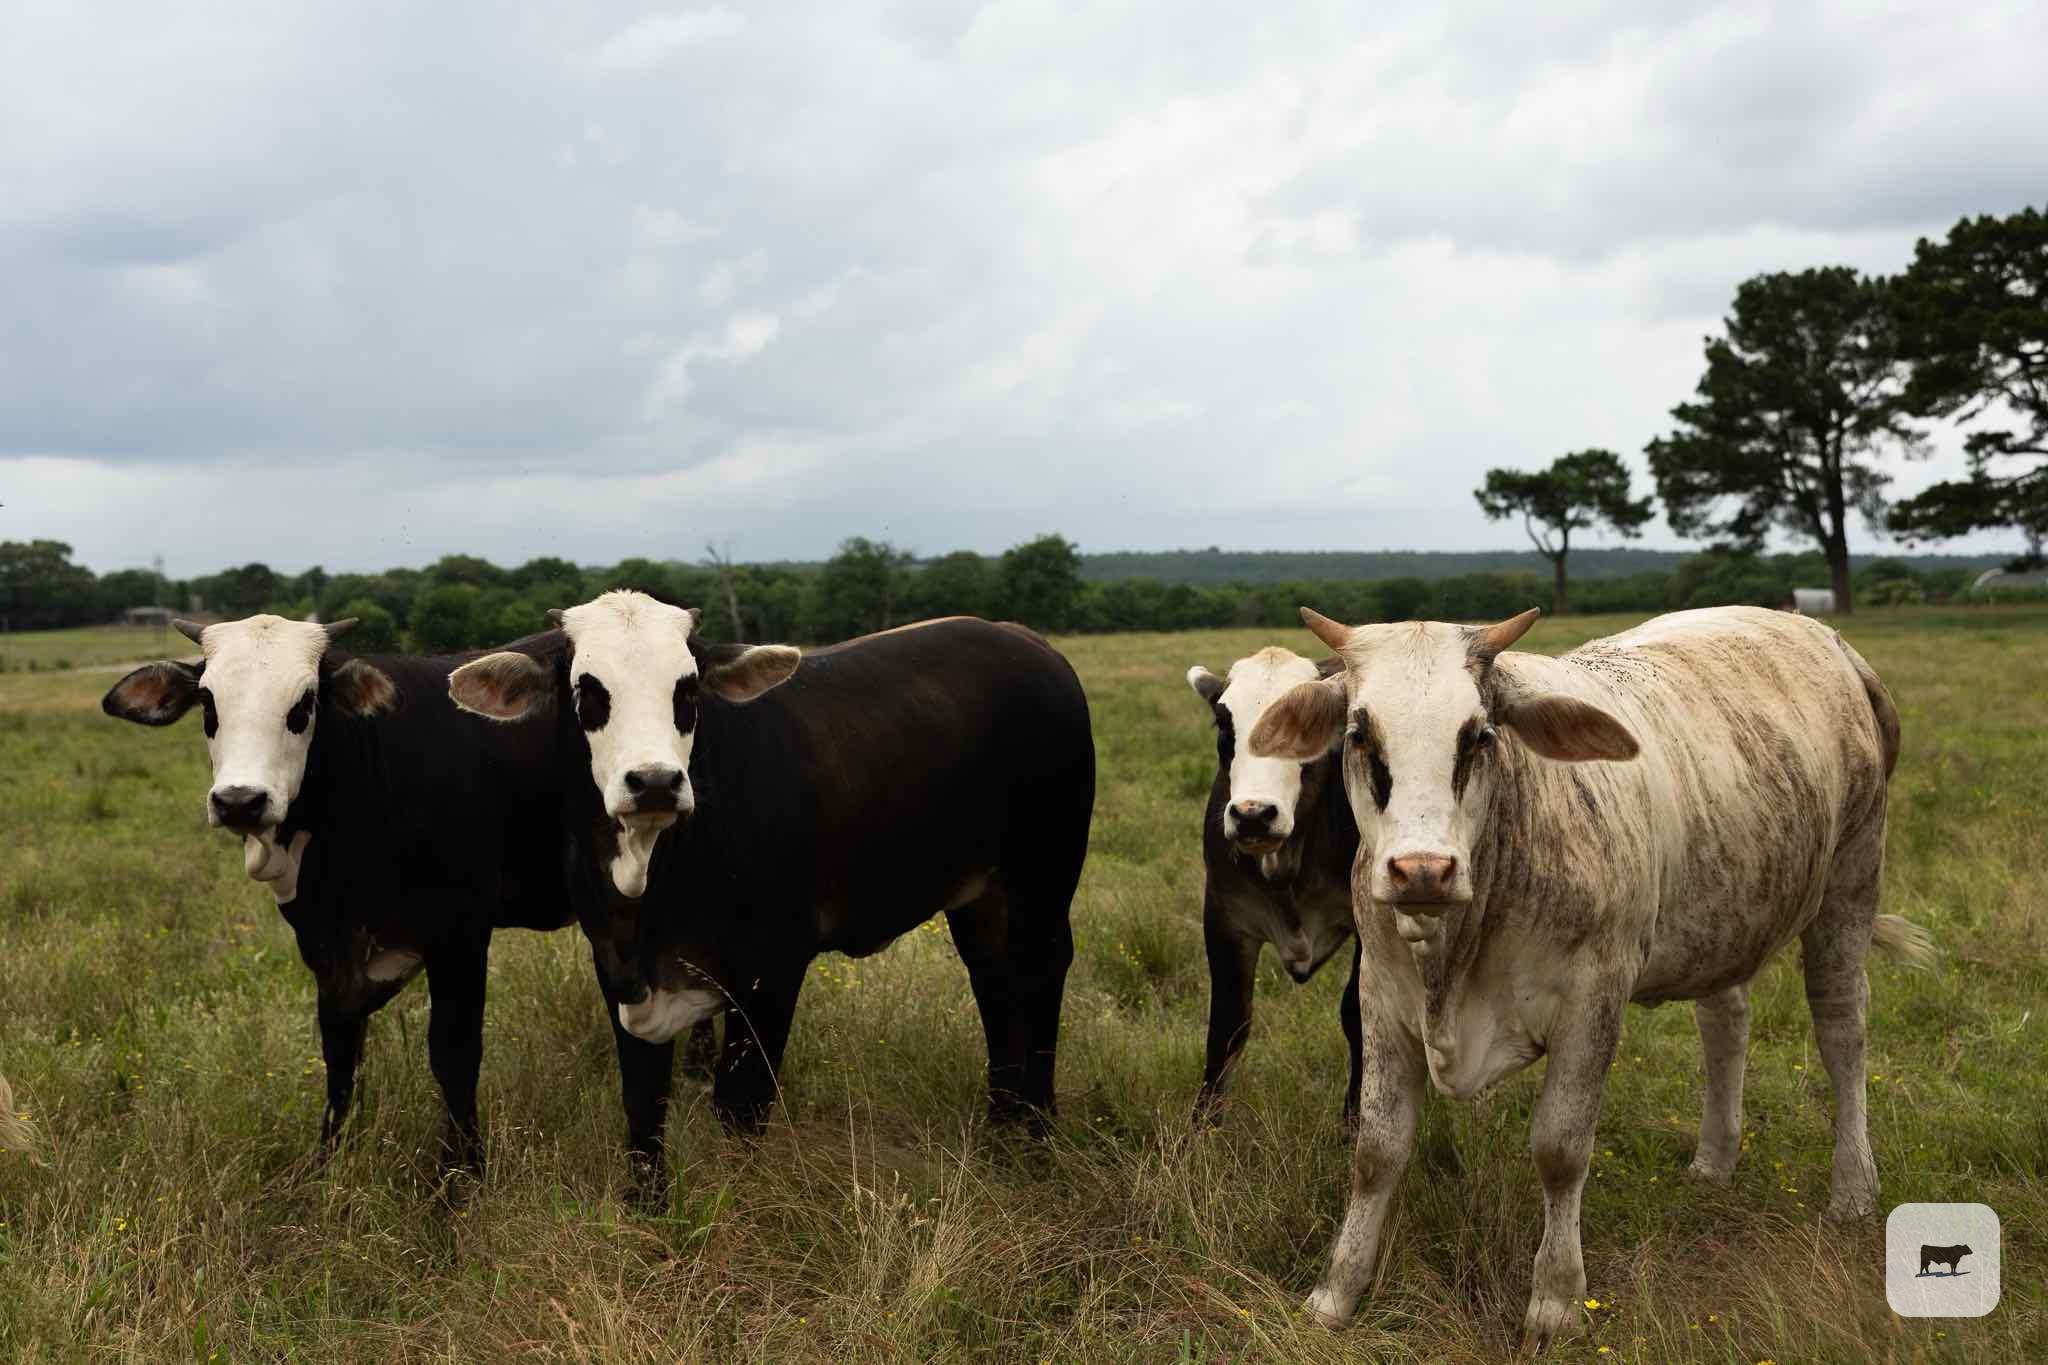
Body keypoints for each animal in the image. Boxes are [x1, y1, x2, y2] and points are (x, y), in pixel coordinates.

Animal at [102, 615, 606, 1172]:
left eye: (304, 704)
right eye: (209, 703)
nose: (239, 801)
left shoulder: (460, 933)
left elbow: (454, 1055)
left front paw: (463, 1173)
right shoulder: (328, 942)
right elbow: (340, 1050)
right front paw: (326, 1162)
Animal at [445, 595, 1095, 1193]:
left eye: (687, 688)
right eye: (587, 689)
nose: (654, 781)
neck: (649, 879)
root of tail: (1021, 638)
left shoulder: (773, 971)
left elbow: (741, 1108)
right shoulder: (616, 969)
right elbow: (643, 1106)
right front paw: (647, 1213)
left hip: (1044, 877)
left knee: (1039, 976)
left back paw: (1039, 1133)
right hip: (980, 898)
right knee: (994, 983)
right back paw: (1002, 1126)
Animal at [1186, 649, 1361, 1121]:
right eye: (1224, 724)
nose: (1252, 815)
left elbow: (1357, 1015)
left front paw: (1356, 1121)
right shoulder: (1224, 917)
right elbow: (1227, 1025)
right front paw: (1202, 1127)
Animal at [1247, 604, 1931, 1353]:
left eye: (1479, 735)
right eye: (1358, 734)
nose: (1422, 869)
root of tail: (1819, 634)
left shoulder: (1592, 999)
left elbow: (1560, 1148)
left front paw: (1554, 1301)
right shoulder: (1380, 998)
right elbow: (1377, 1149)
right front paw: (1335, 1293)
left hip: (1850, 884)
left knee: (1842, 1030)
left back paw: (1853, 1189)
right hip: (1723, 909)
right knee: (1725, 1021)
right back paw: (1715, 1160)